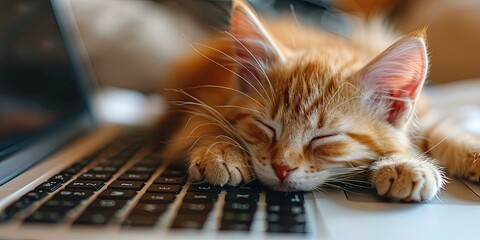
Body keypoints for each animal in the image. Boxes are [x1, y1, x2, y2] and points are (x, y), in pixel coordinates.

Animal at [162, 0, 480, 202]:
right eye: (267, 127)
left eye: (324, 138)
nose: (281, 168)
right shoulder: (205, 103)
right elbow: (203, 124)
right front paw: (220, 152)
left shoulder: (424, 113)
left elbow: (439, 129)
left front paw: (409, 161)